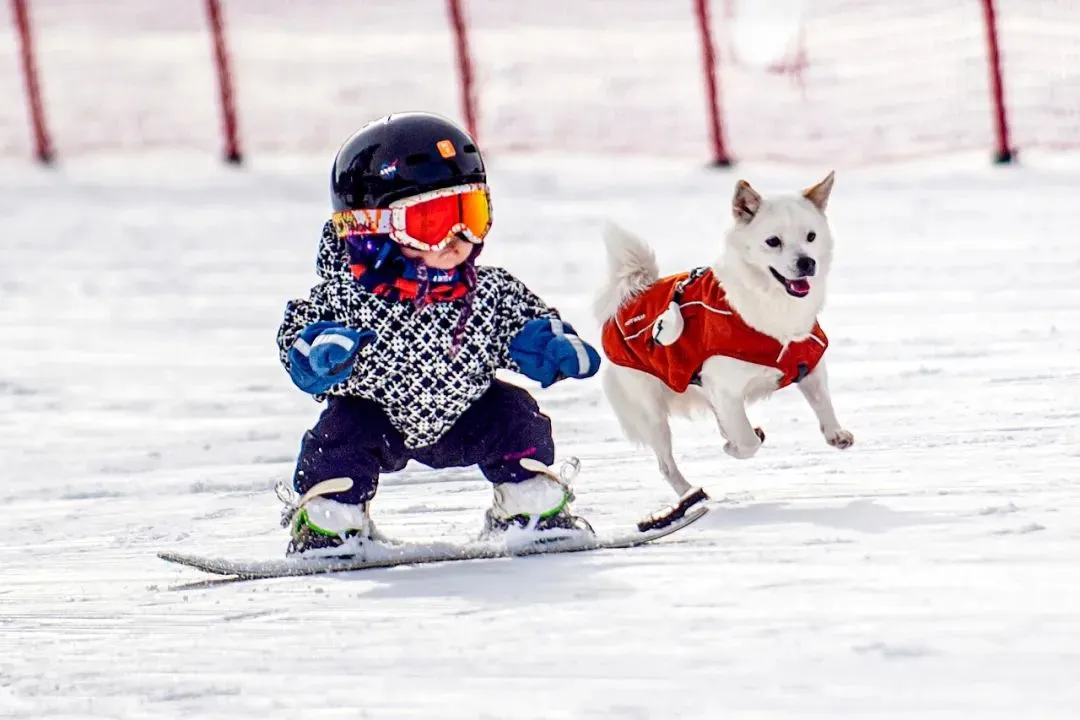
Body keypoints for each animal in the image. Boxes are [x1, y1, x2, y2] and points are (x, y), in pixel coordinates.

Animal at [596, 172, 855, 511]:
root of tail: (627, 299)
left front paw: (835, 433)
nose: (807, 262)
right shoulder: (726, 389)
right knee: (666, 463)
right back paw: (690, 494)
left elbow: (822, 402)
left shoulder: (808, 364)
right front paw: (735, 447)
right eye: (773, 242)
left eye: (811, 236)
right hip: (650, 411)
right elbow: (746, 441)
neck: (773, 311)